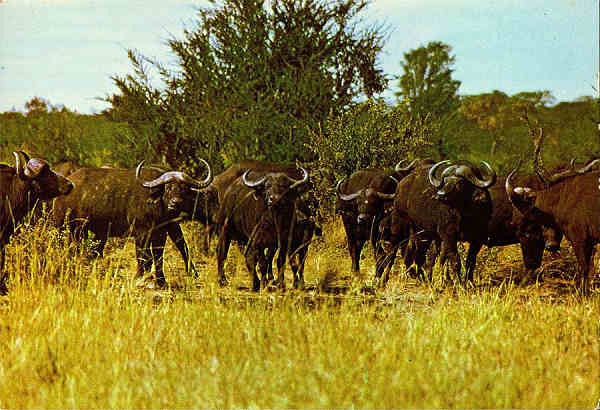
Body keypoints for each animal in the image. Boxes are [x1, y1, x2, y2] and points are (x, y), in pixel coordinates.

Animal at [51, 160, 212, 288]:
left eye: (183, 189)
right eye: (168, 188)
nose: (175, 203)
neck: (157, 206)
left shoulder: (164, 231)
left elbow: (165, 253)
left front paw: (162, 281)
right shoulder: (141, 232)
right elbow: (143, 255)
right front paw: (139, 277)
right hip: (65, 228)